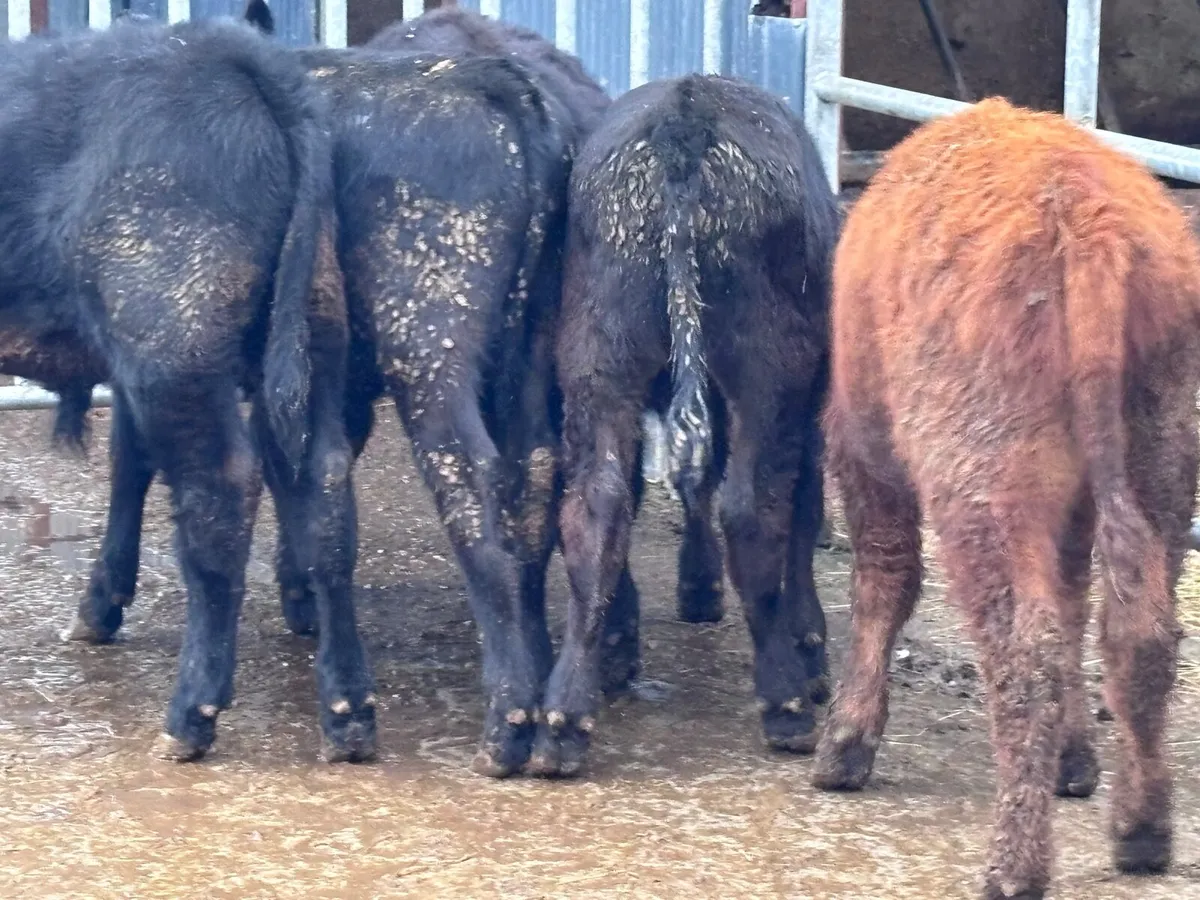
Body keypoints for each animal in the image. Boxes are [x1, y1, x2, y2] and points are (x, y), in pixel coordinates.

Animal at [0, 18, 376, 763]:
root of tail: (229, 53)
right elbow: (127, 462)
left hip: (172, 351)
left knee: (219, 495)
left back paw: (190, 716)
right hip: (308, 337)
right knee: (322, 490)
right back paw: (348, 716)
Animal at [535, 74, 839, 777]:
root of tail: (685, 119)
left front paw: (698, 586)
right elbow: (801, 508)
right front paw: (808, 641)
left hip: (599, 361)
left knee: (596, 508)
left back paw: (564, 719)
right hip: (768, 371)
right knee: (751, 509)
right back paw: (785, 701)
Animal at [811, 97, 1199, 899]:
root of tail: (1084, 213)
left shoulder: (864, 450)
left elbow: (885, 578)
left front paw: (846, 742)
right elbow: (1078, 601)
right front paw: (1075, 762)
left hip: (981, 493)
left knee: (1026, 653)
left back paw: (1013, 866)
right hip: (1161, 467)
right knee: (1137, 633)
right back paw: (1141, 831)